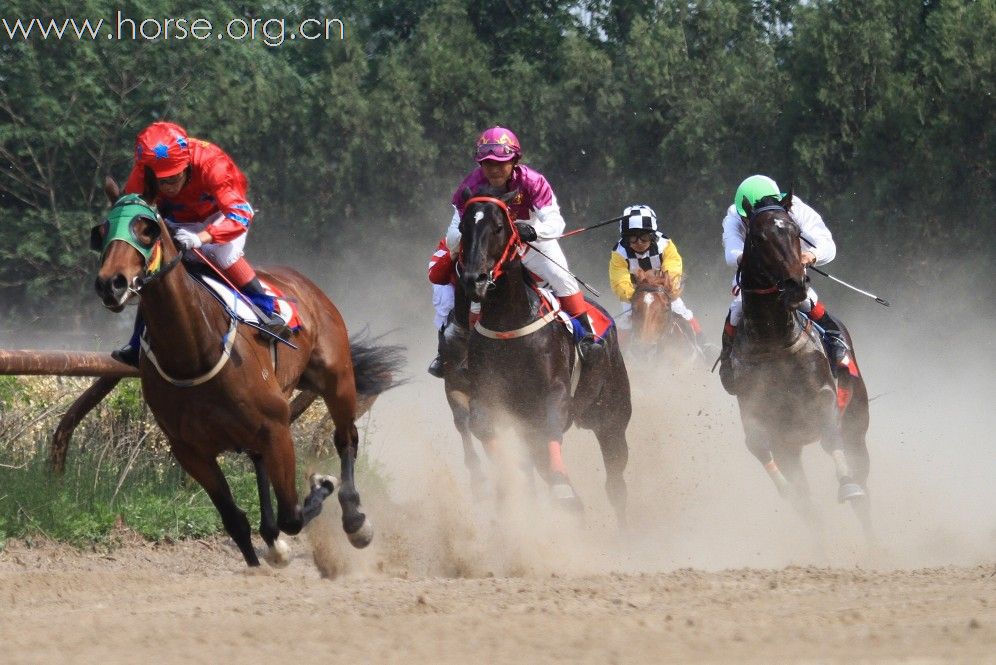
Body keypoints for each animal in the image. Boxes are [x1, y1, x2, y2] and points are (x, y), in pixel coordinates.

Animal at [91, 182, 402, 564]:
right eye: (102, 231)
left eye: (146, 229)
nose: (111, 283)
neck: (193, 352)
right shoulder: (190, 451)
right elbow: (235, 522)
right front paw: (266, 552)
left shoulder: (277, 429)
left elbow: (292, 516)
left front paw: (321, 486)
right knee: (259, 461)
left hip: (337, 379)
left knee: (345, 440)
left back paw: (355, 519)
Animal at [460, 189, 632, 520]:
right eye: (463, 228)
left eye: (498, 227)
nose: (475, 279)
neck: (510, 325)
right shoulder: (487, 395)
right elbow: (482, 426)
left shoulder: (556, 393)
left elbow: (550, 428)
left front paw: (564, 492)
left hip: (611, 415)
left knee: (616, 482)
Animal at [732, 191, 872, 536]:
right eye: (759, 237)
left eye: (796, 232)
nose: (796, 284)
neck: (774, 340)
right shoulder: (757, 412)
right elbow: (756, 444)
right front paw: (792, 496)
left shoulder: (824, 397)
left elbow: (830, 434)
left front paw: (846, 485)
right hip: (791, 447)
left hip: (857, 427)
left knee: (863, 490)